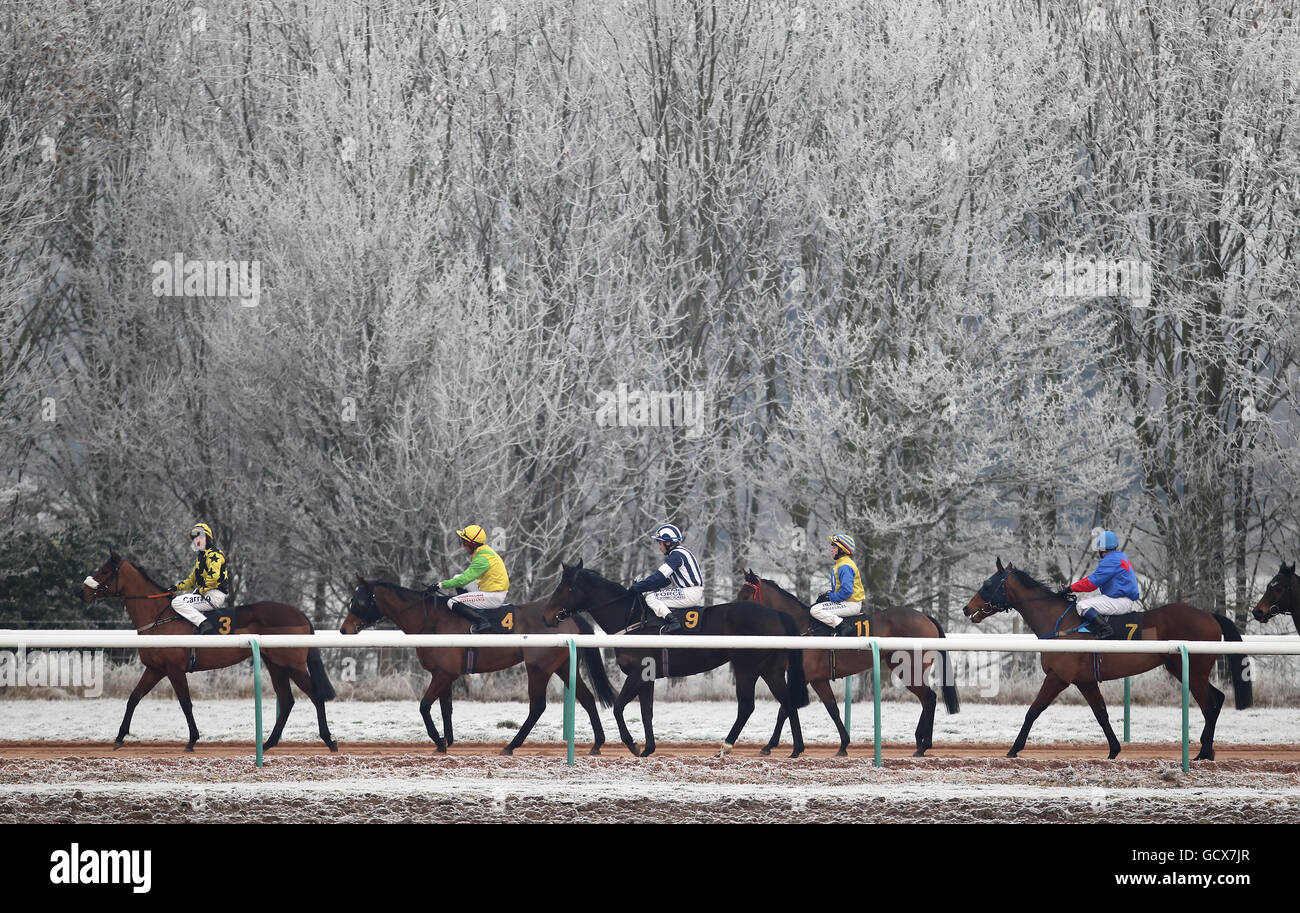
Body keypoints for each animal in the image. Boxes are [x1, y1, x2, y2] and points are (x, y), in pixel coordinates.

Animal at [78, 554, 338, 754]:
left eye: (104, 571)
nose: (82, 593)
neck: (159, 617)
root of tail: (300, 614)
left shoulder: (174, 670)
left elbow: (185, 702)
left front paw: (192, 740)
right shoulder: (155, 669)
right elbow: (133, 698)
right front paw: (119, 737)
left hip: (292, 664)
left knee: (315, 695)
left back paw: (329, 740)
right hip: (275, 664)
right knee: (286, 700)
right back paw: (268, 743)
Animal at [340, 582, 613, 754]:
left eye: (360, 601)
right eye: (352, 598)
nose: (344, 629)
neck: (432, 621)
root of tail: (565, 616)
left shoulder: (444, 673)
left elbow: (425, 706)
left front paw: (438, 740)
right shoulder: (444, 674)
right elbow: (446, 708)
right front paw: (446, 741)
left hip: (538, 668)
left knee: (537, 707)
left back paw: (510, 746)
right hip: (562, 666)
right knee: (587, 698)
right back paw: (597, 743)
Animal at [540, 561, 806, 759]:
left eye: (563, 589)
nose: (545, 617)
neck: (632, 619)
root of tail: (777, 614)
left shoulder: (637, 673)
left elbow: (618, 707)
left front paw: (633, 744)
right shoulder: (647, 677)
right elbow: (646, 711)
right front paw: (648, 748)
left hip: (745, 667)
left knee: (747, 706)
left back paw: (725, 747)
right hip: (770, 670)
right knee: (787, 702)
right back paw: (795, 749)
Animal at [738, 572, 961, 759]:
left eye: (746, 596)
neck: (804, 629)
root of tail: (926, 617)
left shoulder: (806, 677)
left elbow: (785, 708)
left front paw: (772, 745)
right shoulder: (819, 680)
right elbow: (832, 709)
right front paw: (843, 745)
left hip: (909, 668)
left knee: (929, 698)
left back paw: (924, 745)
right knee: (927, 699)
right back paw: (920, 742)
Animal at [967, 561, 1248, 759]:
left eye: (988, 583)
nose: (966, 608)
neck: (1060, 624)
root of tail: (1210, 615)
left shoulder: (1058, 677)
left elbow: (1033, 711)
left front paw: (1014, 749)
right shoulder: (1085, 681)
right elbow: (1101, 713)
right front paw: (1114, 750)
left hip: (1192, 671)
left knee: (1209, 705)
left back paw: (1203, 752)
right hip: (1185, 670)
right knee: (1217, 699)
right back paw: (1206, 750)